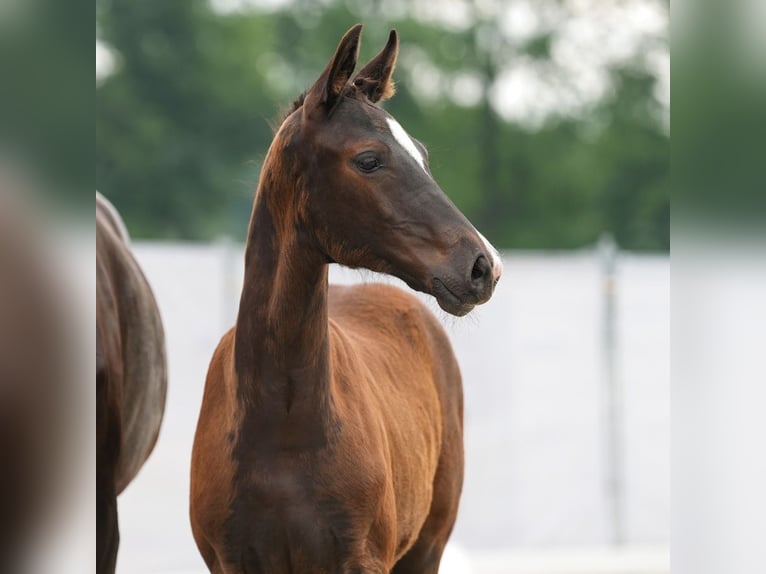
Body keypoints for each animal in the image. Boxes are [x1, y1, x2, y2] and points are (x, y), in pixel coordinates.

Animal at [190, 27, 504, 574]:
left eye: (422, 156)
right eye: (369, 159)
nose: (483, 266)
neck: (281, 426)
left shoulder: (362, 559)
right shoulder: (230, 562)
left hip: (426, 548)